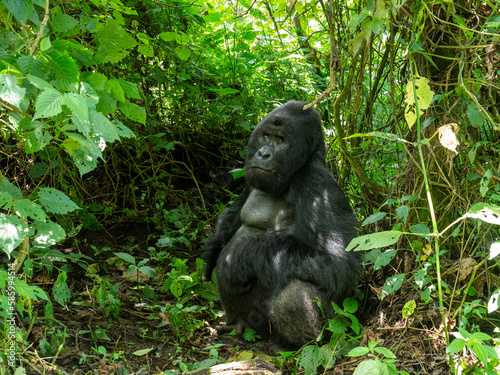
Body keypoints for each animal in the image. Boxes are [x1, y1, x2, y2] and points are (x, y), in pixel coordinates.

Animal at [203, 100, 360, 350]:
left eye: (280, 141)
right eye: (265, 136)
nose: (263, 153)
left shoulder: (317, 183)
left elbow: (340, 265)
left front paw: (239, 257)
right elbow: (232, 217)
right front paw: (211, 253)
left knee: (296, 291)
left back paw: (288, 345)